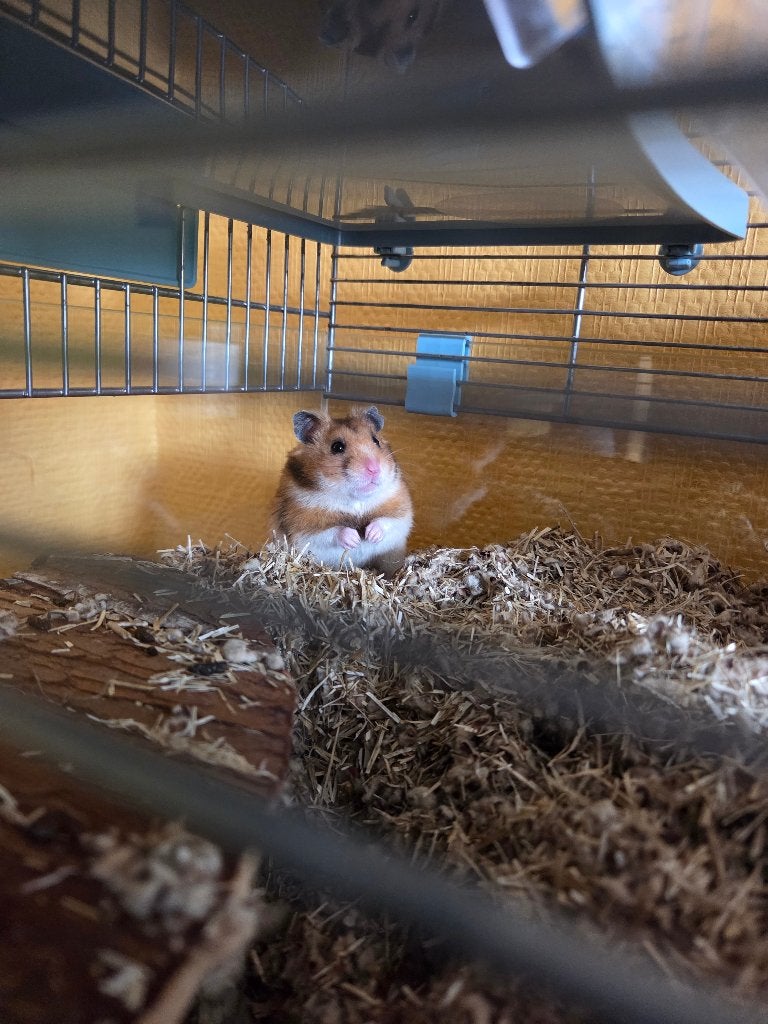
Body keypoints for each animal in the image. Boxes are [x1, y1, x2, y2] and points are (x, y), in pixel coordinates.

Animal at [271, 405, 413, 576]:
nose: (374, 468)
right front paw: (355, 540)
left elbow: (388, 521)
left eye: (376, 440)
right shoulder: (302, 525)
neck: (354, 500)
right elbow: (331, 532)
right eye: (337, 447)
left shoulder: (401, 510)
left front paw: (370, 535)